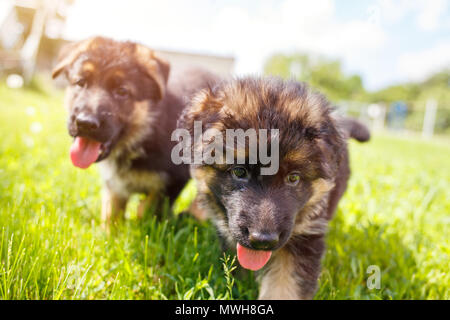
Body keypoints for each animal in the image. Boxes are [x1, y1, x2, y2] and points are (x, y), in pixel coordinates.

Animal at [52, 37, 218, 228]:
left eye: (122, 91)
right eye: (81, 82)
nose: (85, 123)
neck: (143, 137)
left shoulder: (173, 179)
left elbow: (146, 208)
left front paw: (143, 226)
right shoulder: (115, 185)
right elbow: (112, 212)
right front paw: (110, 232)